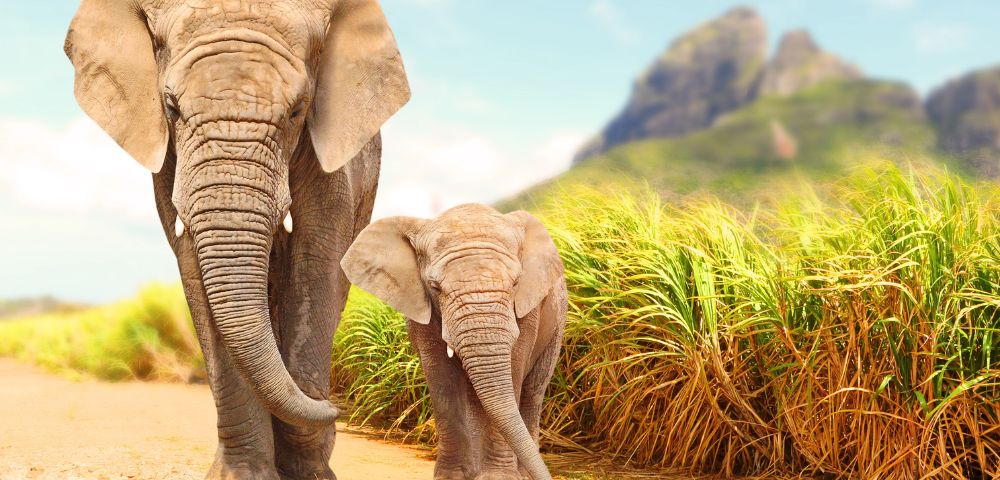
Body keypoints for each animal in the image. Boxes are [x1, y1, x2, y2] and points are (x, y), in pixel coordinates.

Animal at [64, 1, 409, 478]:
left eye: (298, 110)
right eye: (170, 107)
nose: (337, 407)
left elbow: (316, 260)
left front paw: (308, 471)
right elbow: (195, 266)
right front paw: (244, 474)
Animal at [341, 204, 567, 480]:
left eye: (515, 283)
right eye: (435, 287)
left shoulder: (528, 309)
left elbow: (513, 371)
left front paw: (498, 478)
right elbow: (442, 378)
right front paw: (452, 476)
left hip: (557, 323)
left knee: (532, 392)